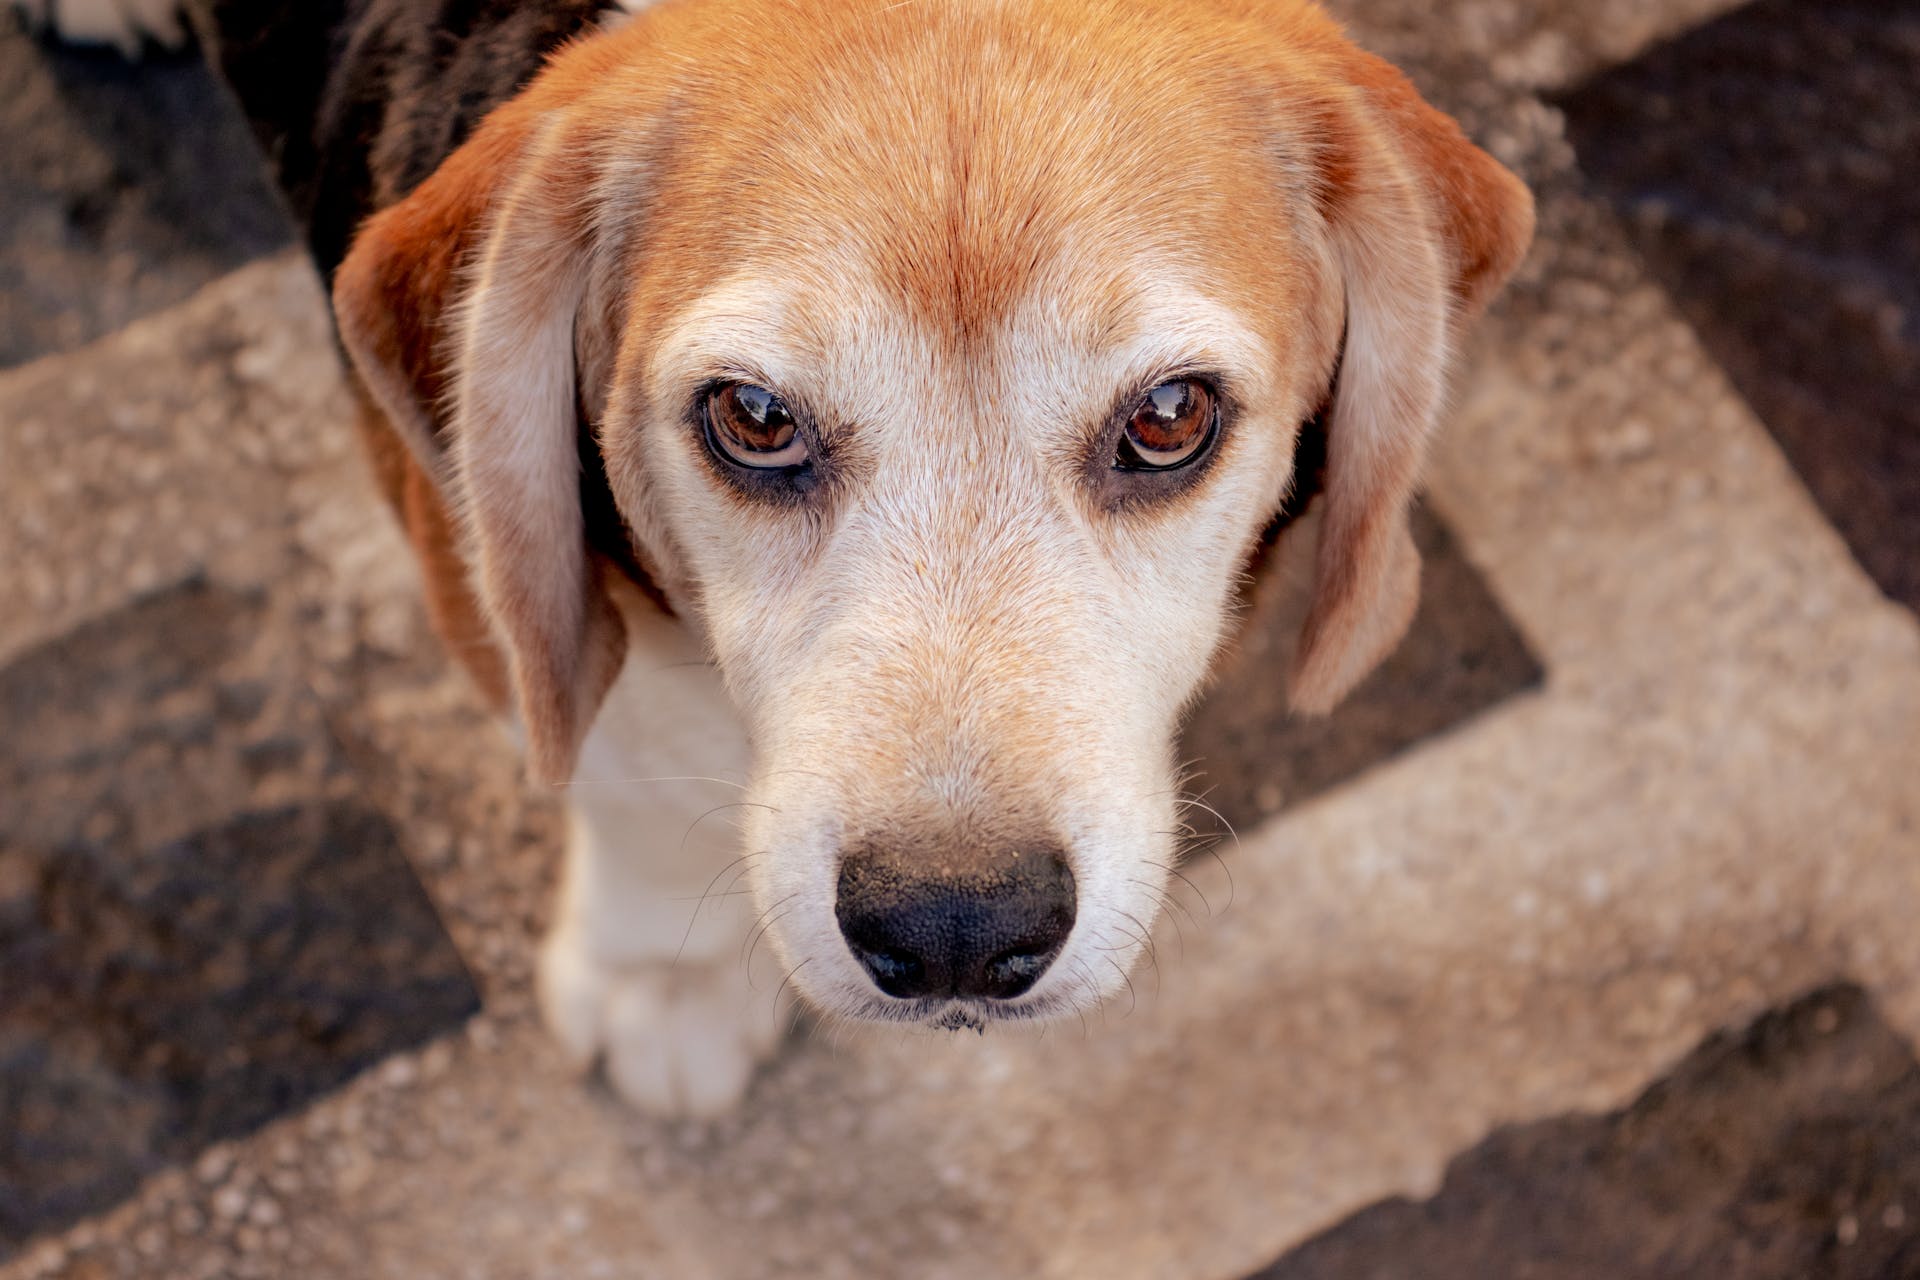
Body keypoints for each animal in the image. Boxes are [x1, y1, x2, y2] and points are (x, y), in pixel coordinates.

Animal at [18, 0, 1528, 1113]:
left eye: (1169, 417)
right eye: (752, 417)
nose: (956, 927)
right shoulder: (483, 566)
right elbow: (631, 763)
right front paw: (666, 983)